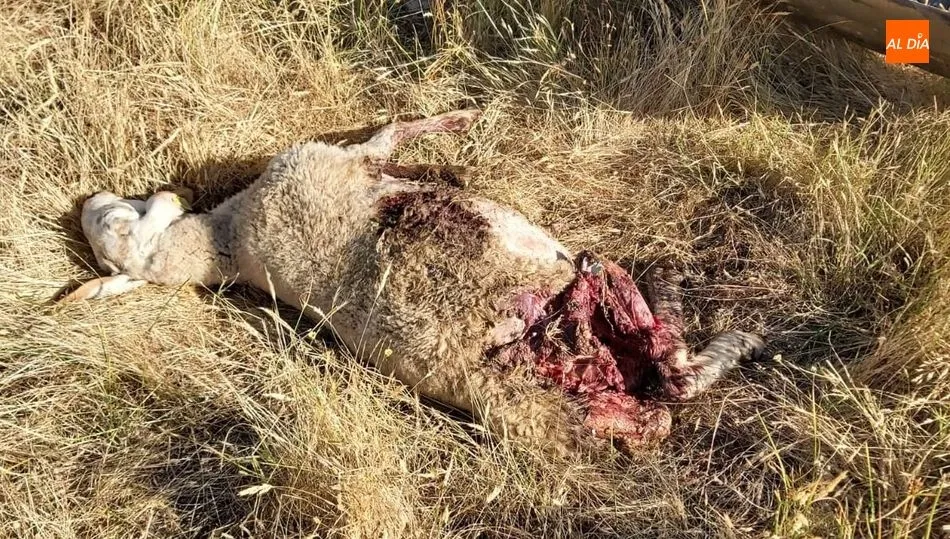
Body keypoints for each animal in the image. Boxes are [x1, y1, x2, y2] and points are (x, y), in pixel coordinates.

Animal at [62, 110, 765, 455]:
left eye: (108, 219)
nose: (87, 200)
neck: (225, 242)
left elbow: (392, 141)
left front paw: (453, 142)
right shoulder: (334, 160)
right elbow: (388, 134)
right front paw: (459, 121)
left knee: (668, 381)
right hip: (586, 345)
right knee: (669, 384)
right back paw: (710, 320)